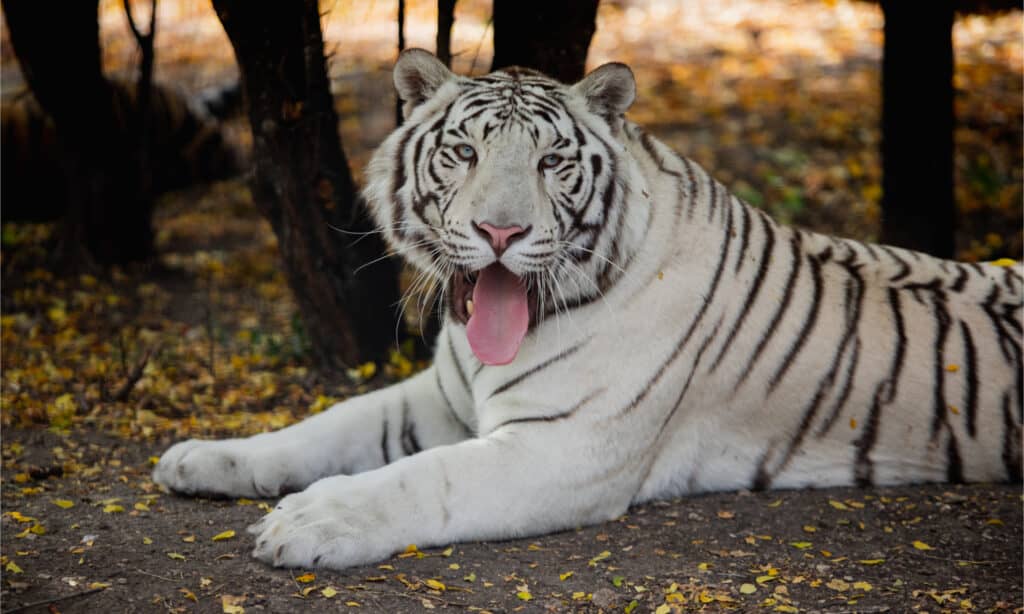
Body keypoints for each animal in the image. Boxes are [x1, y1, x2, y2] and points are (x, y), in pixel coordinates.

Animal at [153, 49, 1024, 568]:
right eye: (463, 152)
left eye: (550, 163)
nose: (500, 232)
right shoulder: (440, 397)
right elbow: (322, 426)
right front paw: (199, 458)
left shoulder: (564, 447)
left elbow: (422, 479)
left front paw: (308, 524)